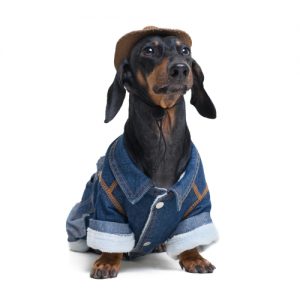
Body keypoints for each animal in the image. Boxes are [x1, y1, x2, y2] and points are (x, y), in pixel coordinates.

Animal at [66, 26, 218, 278]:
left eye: (185, 51)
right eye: (149, 50)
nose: (180, 69)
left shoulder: (197, 205)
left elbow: (191, 234)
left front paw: (194, 257)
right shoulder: (107, 206)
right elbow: (111, 233)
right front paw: (107, 260)